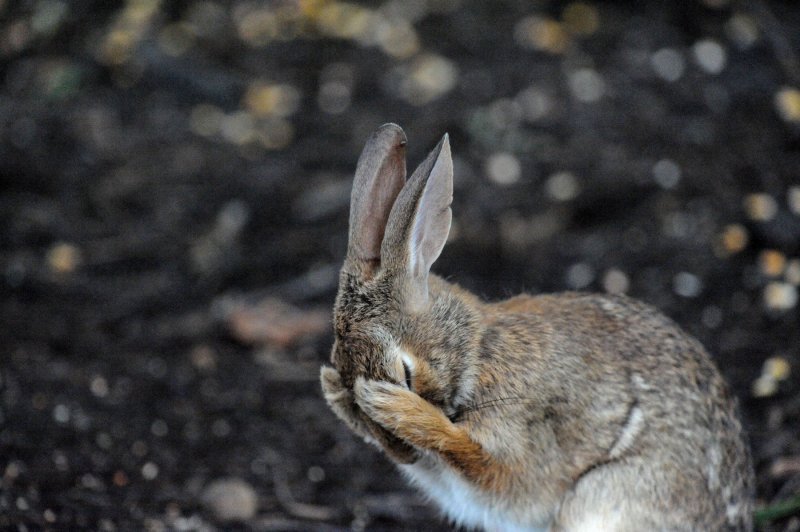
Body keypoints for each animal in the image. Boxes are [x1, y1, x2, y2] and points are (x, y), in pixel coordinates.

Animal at [320, 123, 756, 532]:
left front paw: (395, 407)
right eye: (348, 393)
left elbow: (480, 459)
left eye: (405, 373)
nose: (404, 453)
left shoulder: (520, 441)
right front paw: (333, 391)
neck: (476, 352)